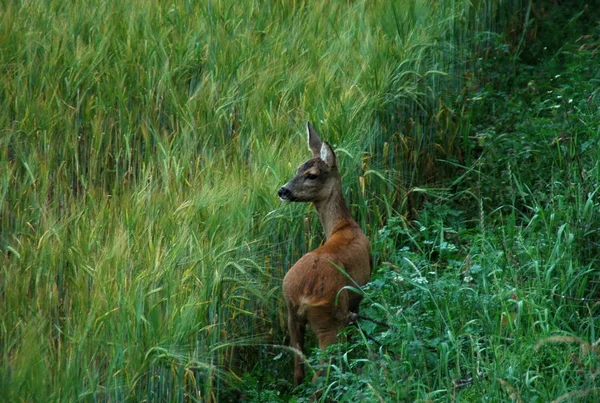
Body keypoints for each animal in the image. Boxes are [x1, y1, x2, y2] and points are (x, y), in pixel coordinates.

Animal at [278, 121, 370, 386]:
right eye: (297, 169)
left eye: (310, 174)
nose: (282, 190)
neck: (343, 226)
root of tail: (303, 296)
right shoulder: (358, 298)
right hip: (331, 317)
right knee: (320, 374)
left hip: (290, 313)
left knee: (298, 369)